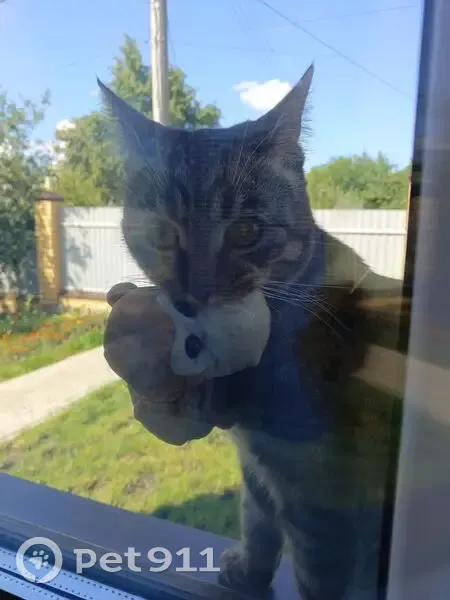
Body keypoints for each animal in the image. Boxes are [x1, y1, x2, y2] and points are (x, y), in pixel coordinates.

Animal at [98, 66, 404, 600]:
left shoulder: (326, 503)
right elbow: (257, 520)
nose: (193, 294)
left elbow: (318, 576)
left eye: (246, 232)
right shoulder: (260, 467)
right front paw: (249, 574)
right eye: (162, 234)